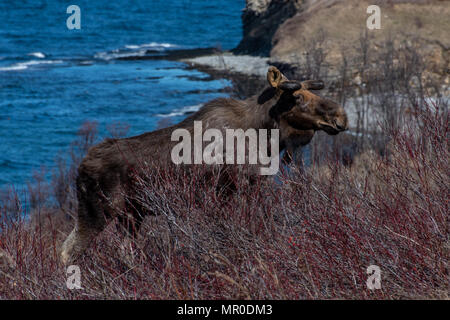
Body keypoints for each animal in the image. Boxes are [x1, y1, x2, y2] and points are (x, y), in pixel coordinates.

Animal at [60, 66, 348, 264]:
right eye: (297, 97)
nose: (341, 116)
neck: (265, 132)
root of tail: (80, 169)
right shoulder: (240, 187)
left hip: (130, 216)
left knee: (118, 251)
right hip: (99, 212)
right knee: (68, 252)